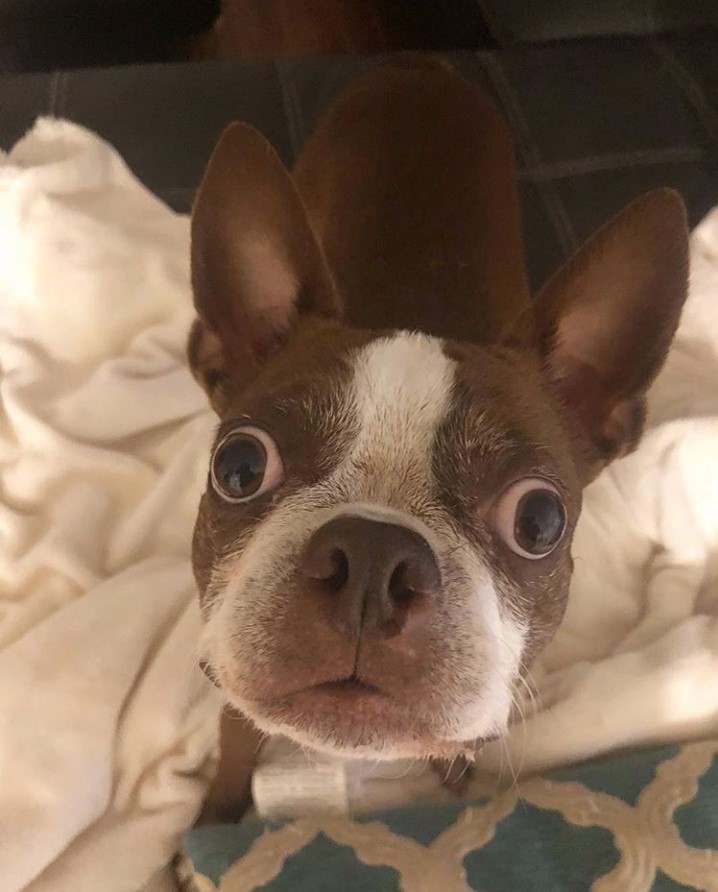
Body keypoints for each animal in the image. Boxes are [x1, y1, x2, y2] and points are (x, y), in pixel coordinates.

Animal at [186, 57, 692, 824]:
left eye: (538, 520)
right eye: (239, 466)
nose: (371, 555)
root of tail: (418, 64)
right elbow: (236, 734)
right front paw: (214, 816)